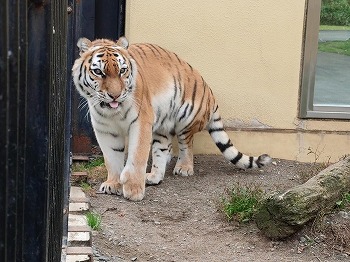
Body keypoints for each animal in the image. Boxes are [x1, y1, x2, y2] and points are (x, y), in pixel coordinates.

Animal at [72, 36, 274, 201]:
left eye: (122, 71)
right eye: (99, 72)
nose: (115, 95)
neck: (112, 112)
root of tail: (209, 93)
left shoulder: (141, 122)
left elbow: (137, 156)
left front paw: (134, 190)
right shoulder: (105, 129)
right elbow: (112, 158)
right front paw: (113, 184)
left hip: (186, 119)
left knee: (187, 145)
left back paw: (184, 168)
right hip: (162, 126)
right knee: (163, 149)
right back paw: (154, 176)